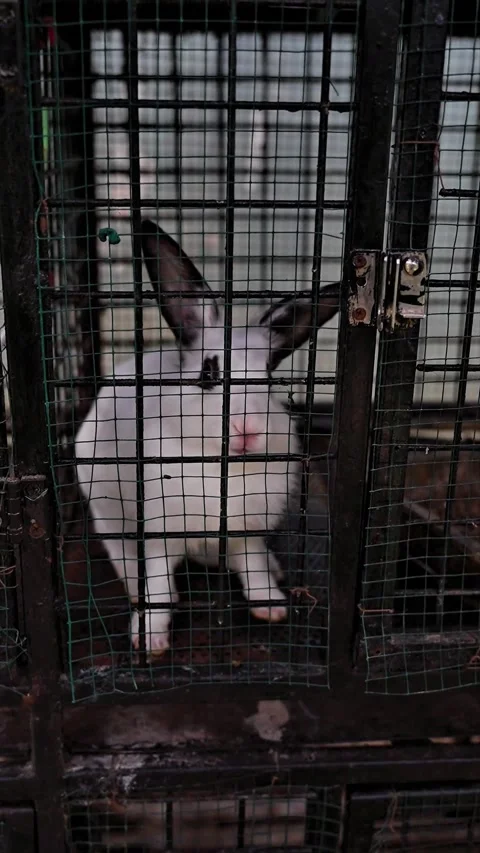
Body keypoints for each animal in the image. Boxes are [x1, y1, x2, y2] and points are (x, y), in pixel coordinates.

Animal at [75, 220, 339, 656]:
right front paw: (150, 638)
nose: (247, 430)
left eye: (269, 379)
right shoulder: (160, 534)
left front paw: (271, 607)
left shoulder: (246, 532)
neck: (219, 463)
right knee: (123, 555)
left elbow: (252, 568)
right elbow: (158, 585)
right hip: (105, 508)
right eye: (208, 373)